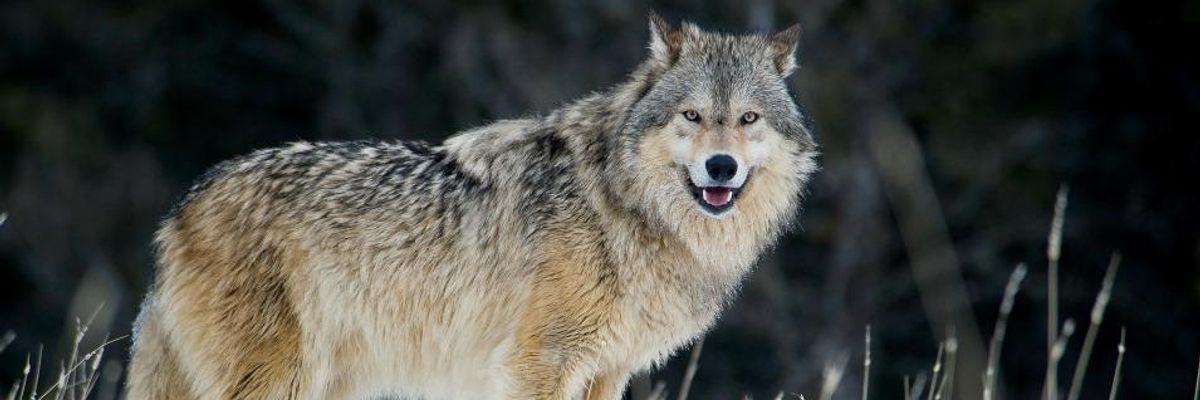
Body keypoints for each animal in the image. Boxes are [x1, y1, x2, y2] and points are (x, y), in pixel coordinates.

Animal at [126, 14, 818, 400]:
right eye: (692, 116)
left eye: (748, 119)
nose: (721, 167)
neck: (621, 207)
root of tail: (181, 206)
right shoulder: (538, 364)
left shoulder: (607, 371)